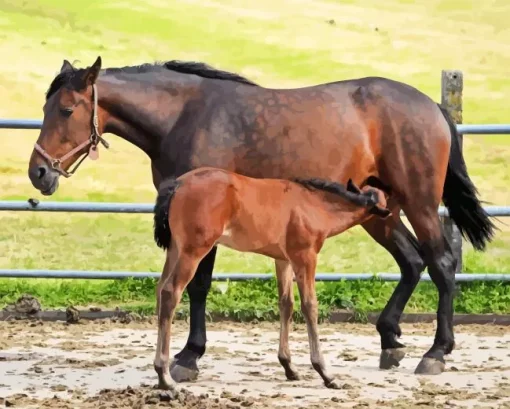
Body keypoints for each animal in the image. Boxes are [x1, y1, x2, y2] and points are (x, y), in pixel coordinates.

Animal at [151, 166, 390, 388]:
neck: (315, 205)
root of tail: (179, 183)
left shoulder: (284, 260)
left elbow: (286, 304)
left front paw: (289, 366)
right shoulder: (305, 257)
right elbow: (310, 306)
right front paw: (325, 372)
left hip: (175, 249)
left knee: (160, 290)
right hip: (193, 251)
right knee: (171, 292)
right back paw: (165, 377)